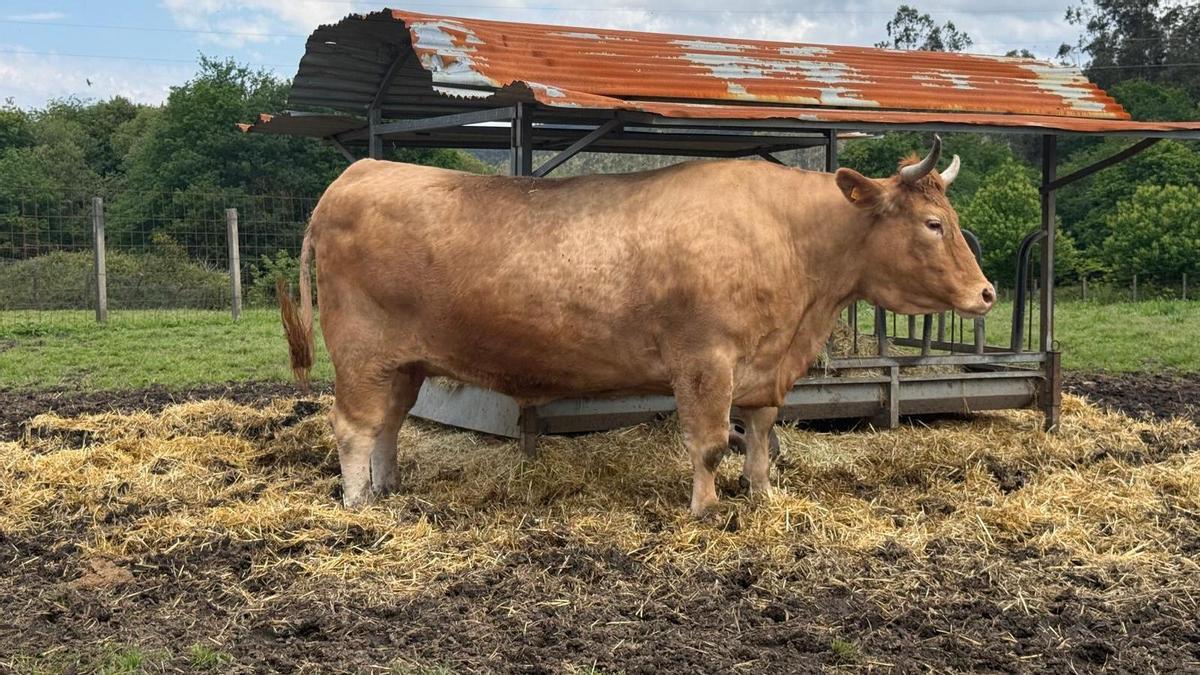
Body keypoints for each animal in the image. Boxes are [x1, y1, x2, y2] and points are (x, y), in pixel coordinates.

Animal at [279, 136, 994, 516]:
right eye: (933, 224)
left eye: (952, 219)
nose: (986, 293)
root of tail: (360, 171)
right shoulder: (705, 360)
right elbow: (709, 442)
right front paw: (706, 510)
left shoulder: (764, 370)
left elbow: (761, 439)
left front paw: (761, 498)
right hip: (361, 353)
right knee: (353, 427)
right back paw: (358, 506)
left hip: (403, 362)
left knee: (388, 426)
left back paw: (388, 491)